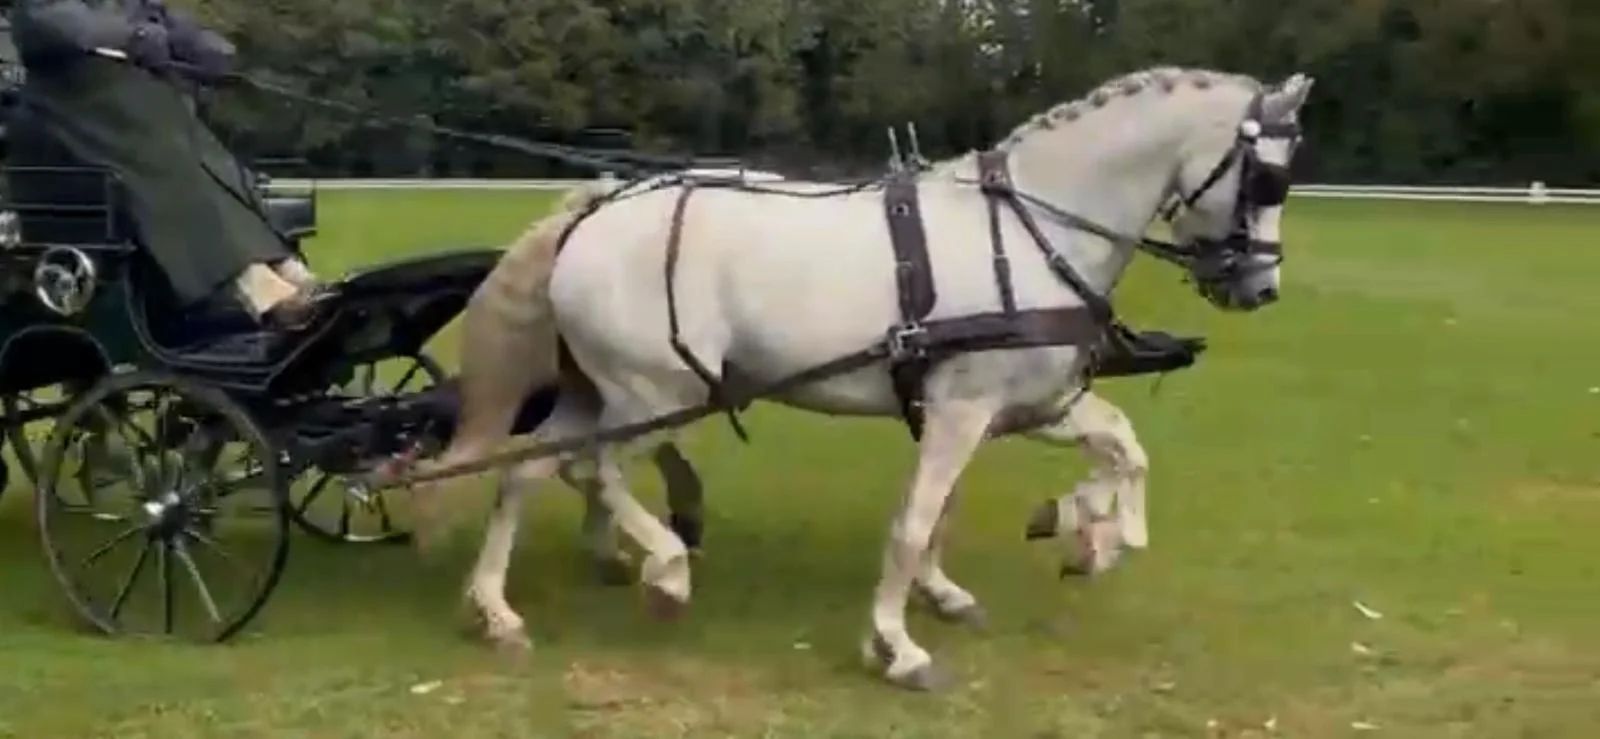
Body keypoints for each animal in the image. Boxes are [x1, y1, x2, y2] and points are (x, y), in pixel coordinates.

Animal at [412, 66, 1315, 690]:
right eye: (1266, 177)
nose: (1261, 287)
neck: (1029, 230)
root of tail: (597, 209)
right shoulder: (962, 410)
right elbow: (916, 520)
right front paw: (898, 643)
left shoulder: (1025, 404)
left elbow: (1120, 450)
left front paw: (1084, 532)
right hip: (657, 394)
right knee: (588, 468)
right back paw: (665, 570)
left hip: (597, 390)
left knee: (527, 470)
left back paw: (496, 609)